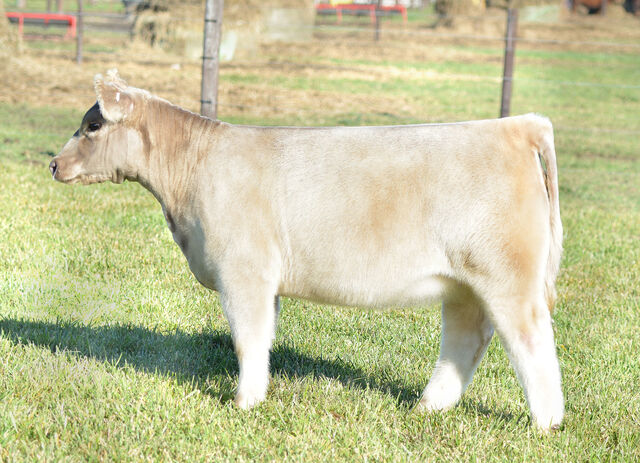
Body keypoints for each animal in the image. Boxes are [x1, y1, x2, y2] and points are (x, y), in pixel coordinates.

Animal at [49, 70, 564, 431]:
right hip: (464, 284)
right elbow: (263, 338)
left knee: (531, 342)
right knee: (466, 340)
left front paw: (244, 401)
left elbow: (248, 338)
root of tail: (516, 126)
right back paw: (429, 407)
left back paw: (546, 423)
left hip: (507, 277)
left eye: (92, 124)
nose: (53, 163)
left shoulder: (244, 272)